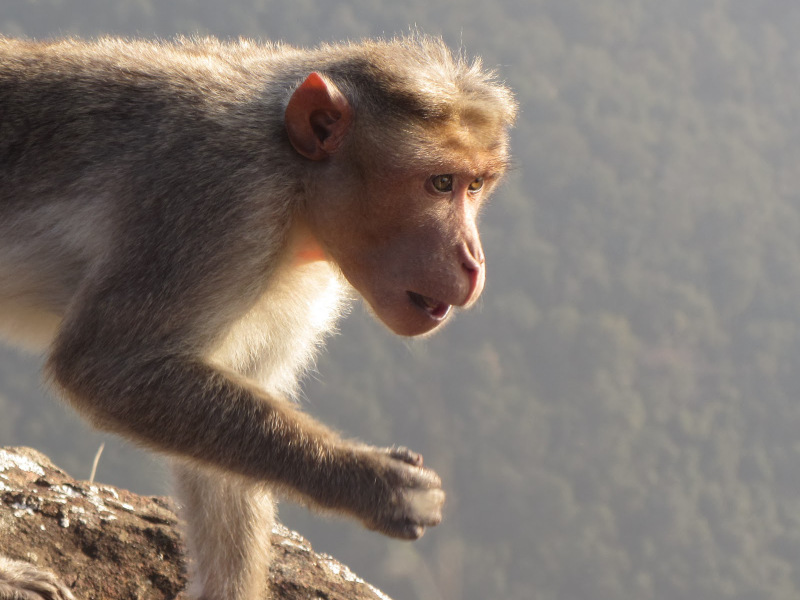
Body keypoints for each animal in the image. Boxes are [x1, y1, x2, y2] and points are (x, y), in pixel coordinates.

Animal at [0, 35, 516, 600]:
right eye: (440, 183)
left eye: (475, 186)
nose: (474, 261)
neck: (296, 185)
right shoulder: (218, 198)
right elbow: (107, 366)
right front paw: (370, 481)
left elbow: (225, 449)